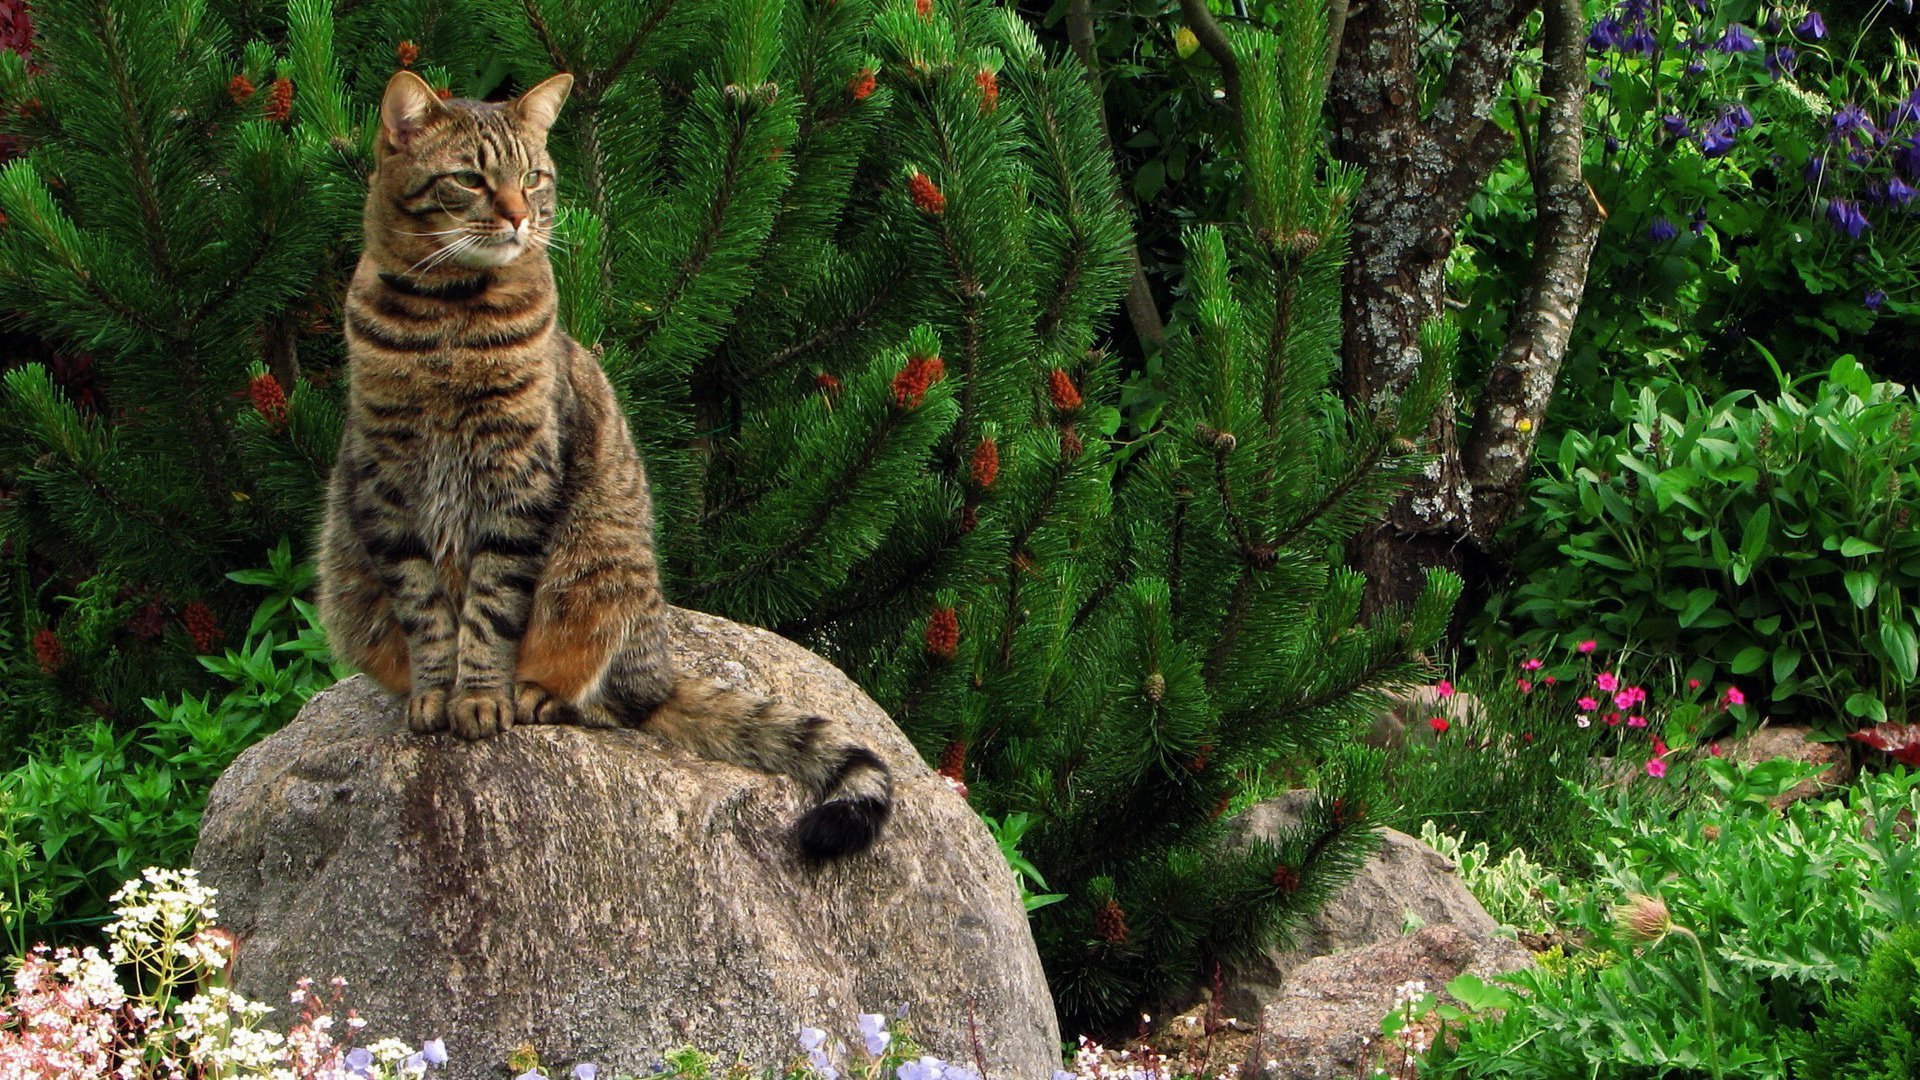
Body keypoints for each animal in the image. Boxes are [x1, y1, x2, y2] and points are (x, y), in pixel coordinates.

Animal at [314, 71, 890, 853]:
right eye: (469, 179)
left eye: (532, 177)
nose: (519, 217)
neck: (449, 316)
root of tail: (661, 669)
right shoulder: (384, 485)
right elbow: (427, 608)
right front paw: (438, 692)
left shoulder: (521, 481)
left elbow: (489, 609)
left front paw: (481, 697)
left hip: (598, 578)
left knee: (612, 703)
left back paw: (537, 694)